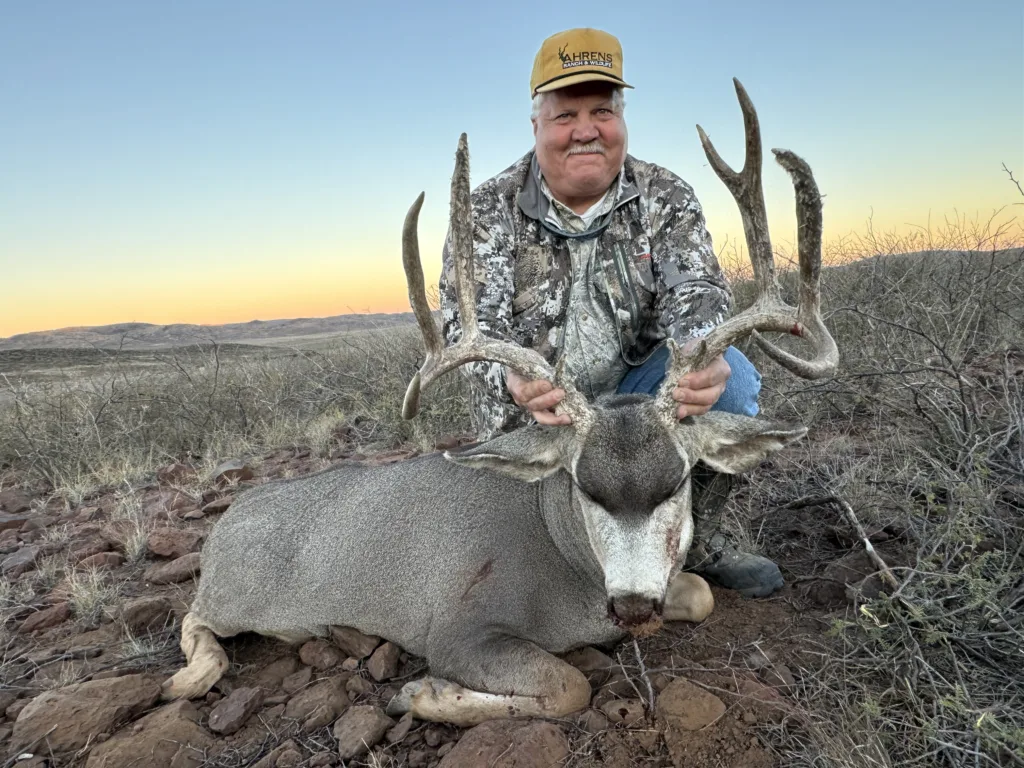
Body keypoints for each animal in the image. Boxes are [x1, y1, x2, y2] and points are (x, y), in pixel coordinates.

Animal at [160, 79, 838, 727]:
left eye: (677, 484)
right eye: (583, 486)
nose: (631, 605)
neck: (566, 562)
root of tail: (226, 522)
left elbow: (699, 592)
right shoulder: (458, 628)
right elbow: (568, 685)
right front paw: (419, 694)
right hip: (236, 597)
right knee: (193, 621)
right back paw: (188, 677)